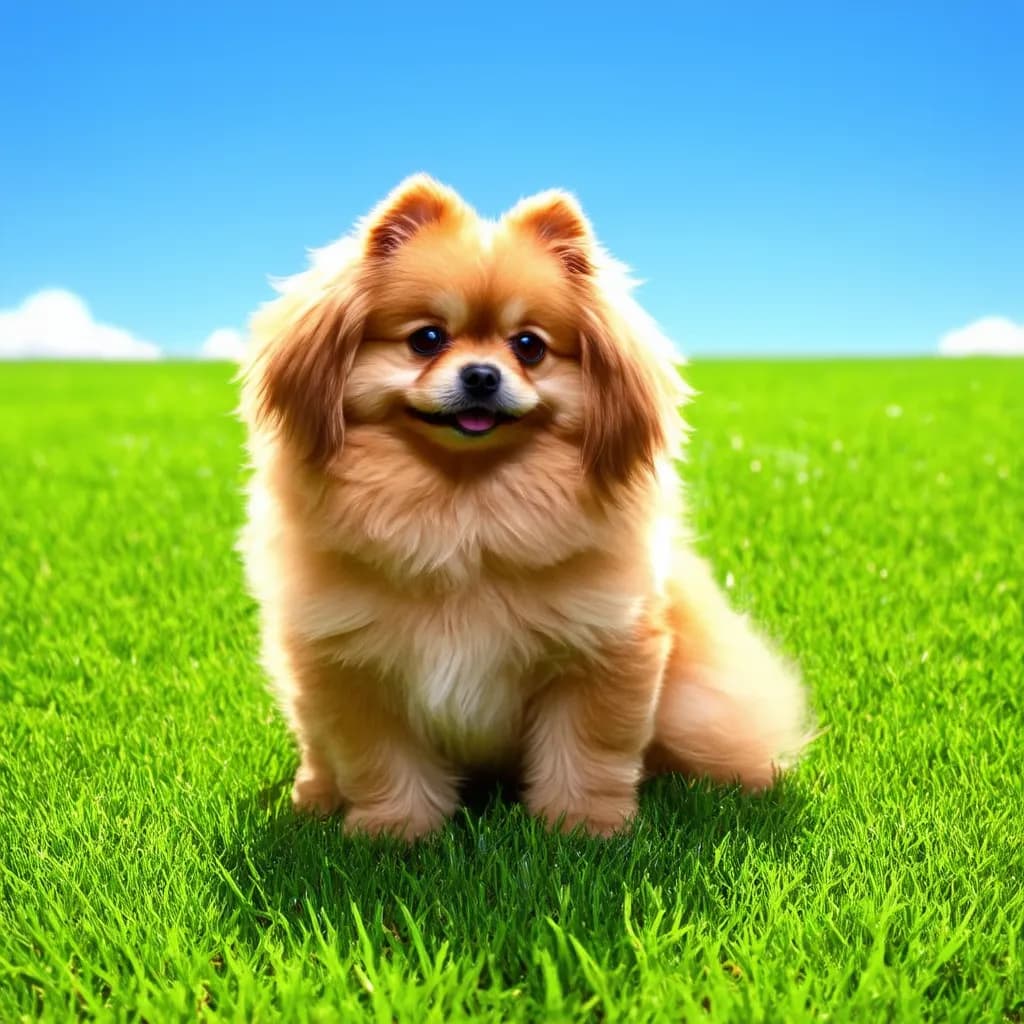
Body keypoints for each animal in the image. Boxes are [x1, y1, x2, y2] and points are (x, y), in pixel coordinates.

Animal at [237, 172, 806, 835]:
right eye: (426, 339)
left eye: (529, 346)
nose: (482, 375)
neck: (464, 510)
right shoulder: (355, 670)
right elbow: (382, 760)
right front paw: (396, 832)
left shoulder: (599, 653)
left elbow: (587, 750)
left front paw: (581, 828)